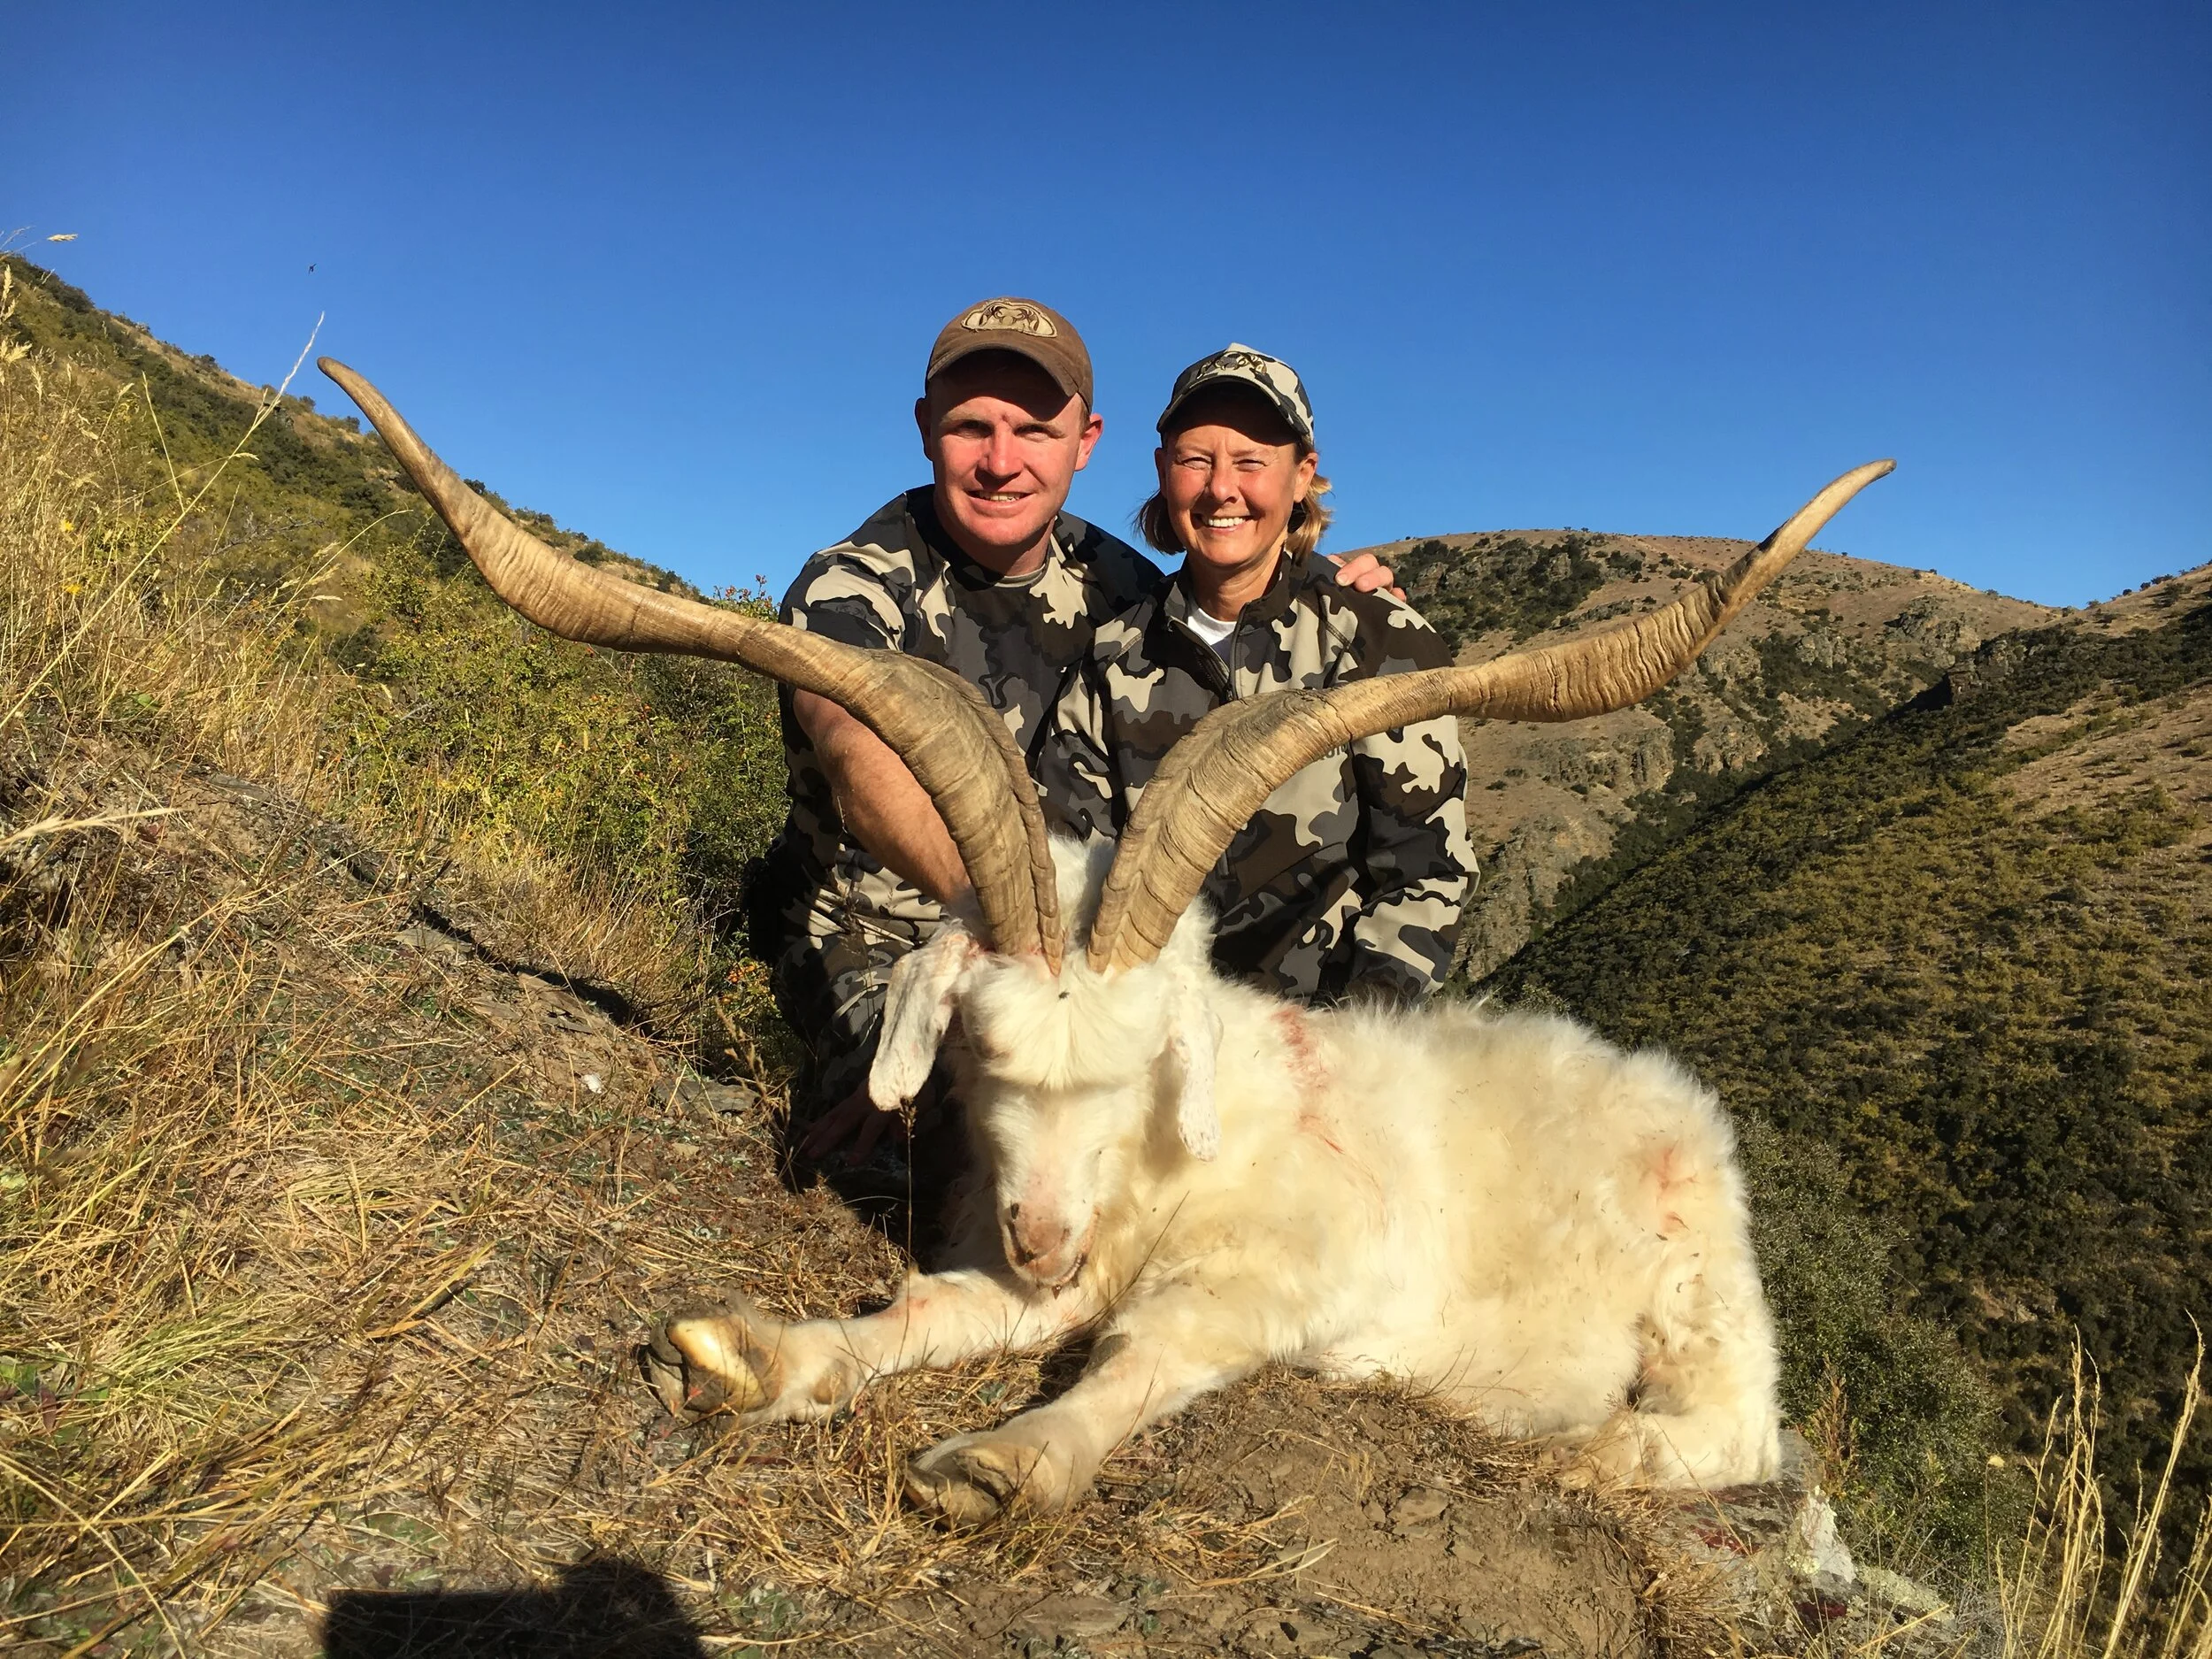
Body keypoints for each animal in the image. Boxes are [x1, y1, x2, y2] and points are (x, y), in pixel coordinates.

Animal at [320, 355, 1887, 1522]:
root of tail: (1666, 1095)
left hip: (1703, 1316)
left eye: (1141, 1069)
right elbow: (933, 1306)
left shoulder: (1275, 1278)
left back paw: (1581, 1452)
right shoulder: (1024, 1258)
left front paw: (1005, 1460)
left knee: (1729, 1438)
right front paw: (751, 1355)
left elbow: (1149, 1350)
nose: (1047, 1230)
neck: (1176, 1164)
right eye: (982, 1052)